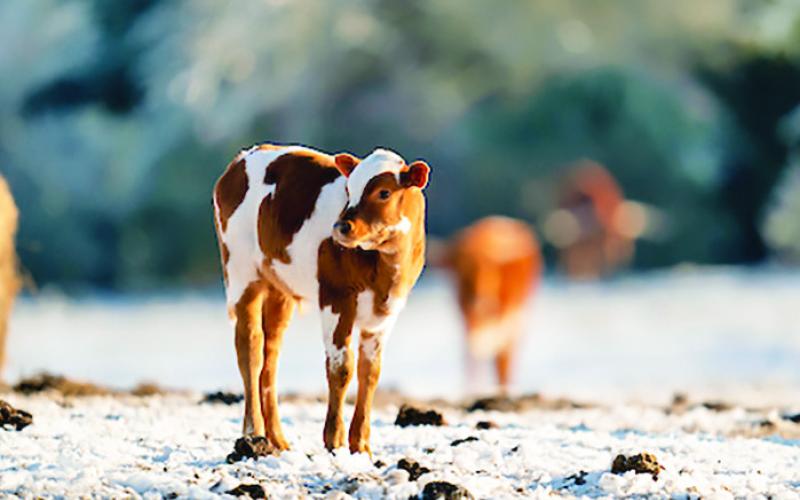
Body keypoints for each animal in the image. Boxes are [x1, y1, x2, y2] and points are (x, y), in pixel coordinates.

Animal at [213, 144, 429, 455]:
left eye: (384, 192)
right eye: (349, 189)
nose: (341, 226)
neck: (385, 268)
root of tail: (243, 157)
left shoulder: (387, 311)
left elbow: (370, 372)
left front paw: (361, 446)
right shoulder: (336, 296)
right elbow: (341, 368)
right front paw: (334, 441)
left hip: (279, 289)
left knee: (270, 356)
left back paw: (277, 440)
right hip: (242, 273)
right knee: (250, 349)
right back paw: (253, 433)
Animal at [442, 217, 541, 392]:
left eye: (488, 270)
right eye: (459, 274)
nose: (477, 301)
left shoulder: (510, 322)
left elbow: (502, 360)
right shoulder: (470, 324)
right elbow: (474, 355)